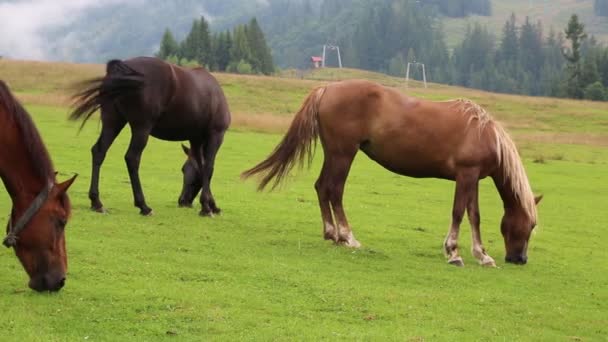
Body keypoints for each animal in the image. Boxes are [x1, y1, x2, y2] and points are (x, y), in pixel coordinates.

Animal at [69, 56, 230, 216]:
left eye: (185, 170)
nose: (182, 201)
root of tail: (122, 68)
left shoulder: (195, 139)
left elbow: (201, 166)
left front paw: (211, 204)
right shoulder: (216, 135)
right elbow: (208, 168)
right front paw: (207, 207)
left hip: (113, 122)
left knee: (99, 151)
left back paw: (96, 202)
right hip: (141, 128)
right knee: (132, 158)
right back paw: (143, 206)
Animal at [245, 80, 544, 268]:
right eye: (530, 225)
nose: (520, 259)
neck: (483, 133)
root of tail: (327, 88)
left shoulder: (473, 179)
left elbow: (474, 215)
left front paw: (482, 256)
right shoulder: (466, 175)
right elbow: (459, 213)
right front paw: (453, 253)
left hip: (334, 153)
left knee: (322, 187)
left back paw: (333, 234)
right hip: (343, 154)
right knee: (334, 190)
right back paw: (348, 237)